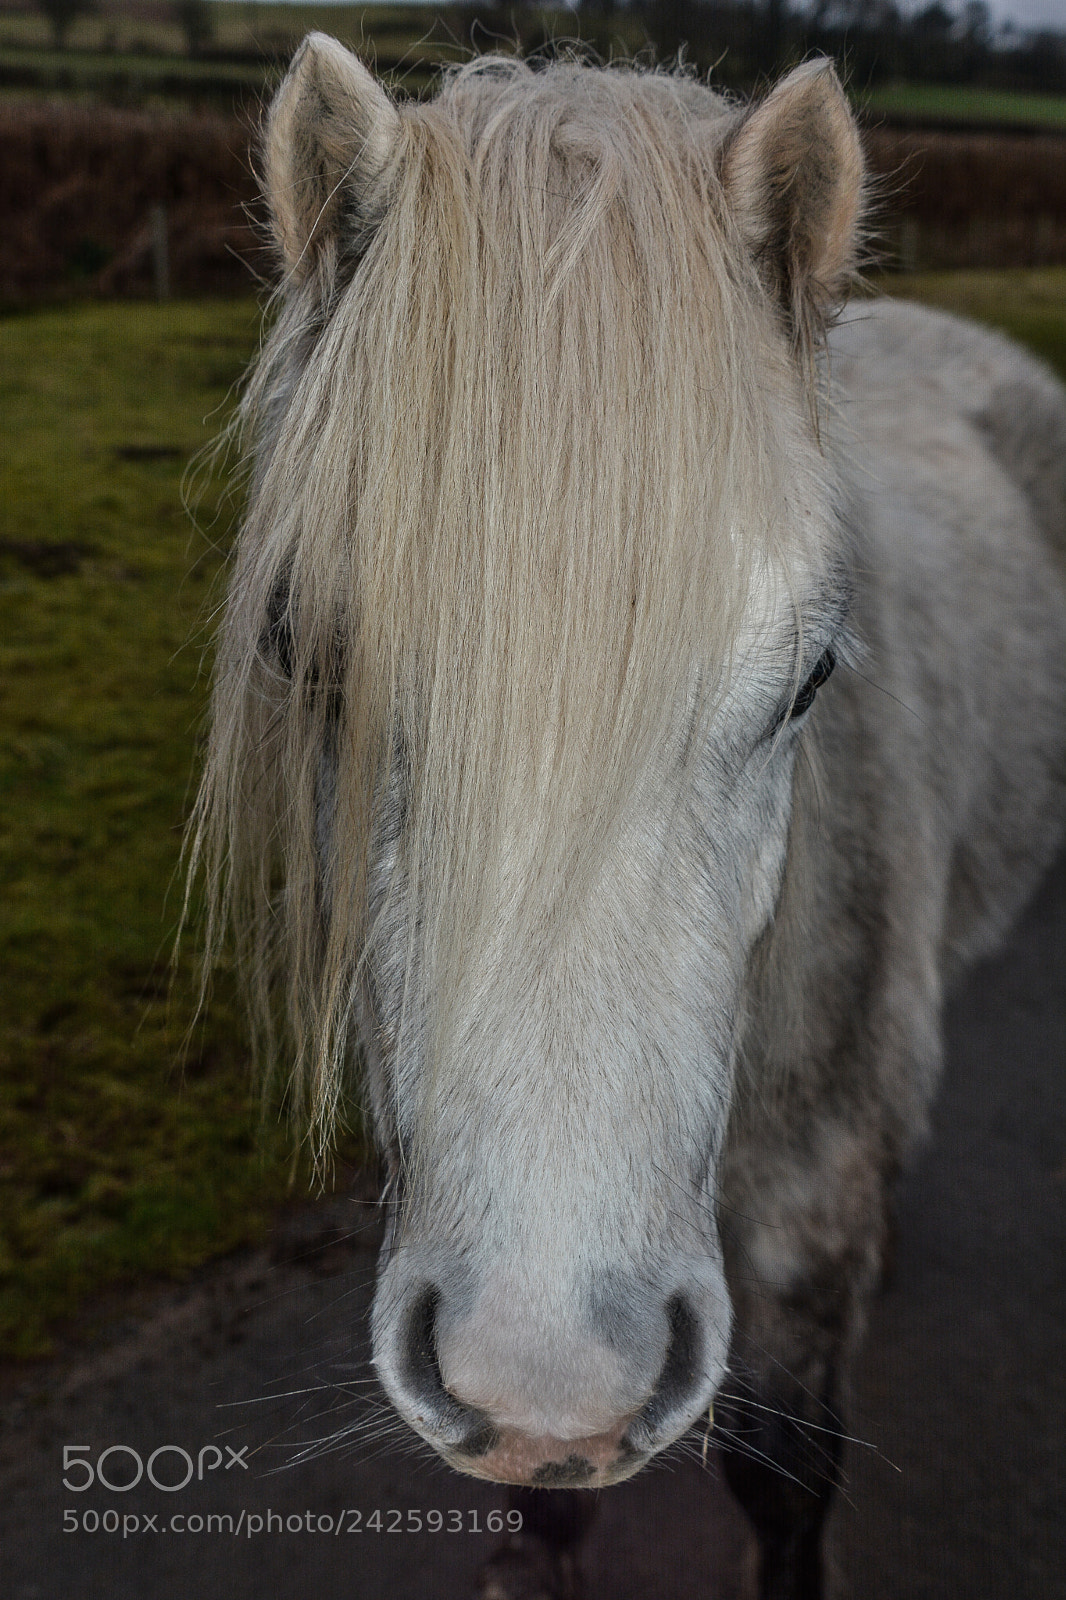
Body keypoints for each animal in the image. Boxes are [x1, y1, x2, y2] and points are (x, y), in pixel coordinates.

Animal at [188, 37, 1066, 1599]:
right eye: (302, 654)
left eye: (813, 677)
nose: (549, 1380)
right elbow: (541, 1513)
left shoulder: (798, 1231)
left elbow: (782, 1476)